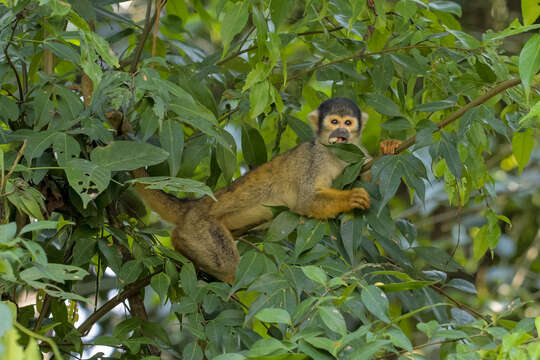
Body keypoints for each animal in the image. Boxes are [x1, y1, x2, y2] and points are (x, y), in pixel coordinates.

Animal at [133, 97, 398, 284]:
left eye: (348, 123)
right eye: (334, 122)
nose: (341, 133)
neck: (337, 153)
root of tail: (194, 205)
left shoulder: (358, 155)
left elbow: (372, 180)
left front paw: (389, 146)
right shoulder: (315, 158)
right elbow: (306, 201)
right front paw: (351, 197)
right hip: (200, 227)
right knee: (226, 262)